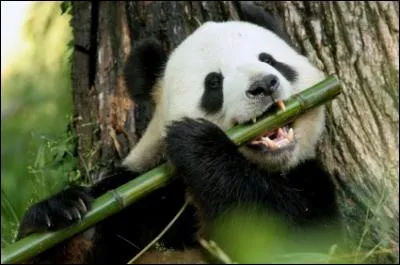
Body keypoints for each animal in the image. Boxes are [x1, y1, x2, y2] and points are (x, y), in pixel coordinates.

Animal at [17, 2, 342, 264]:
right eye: (214, 82)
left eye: (270, 60)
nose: (264, 85)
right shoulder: (136, 198)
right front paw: (56, 212)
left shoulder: (310, 181)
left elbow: (292, 237)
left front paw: (196, 142)